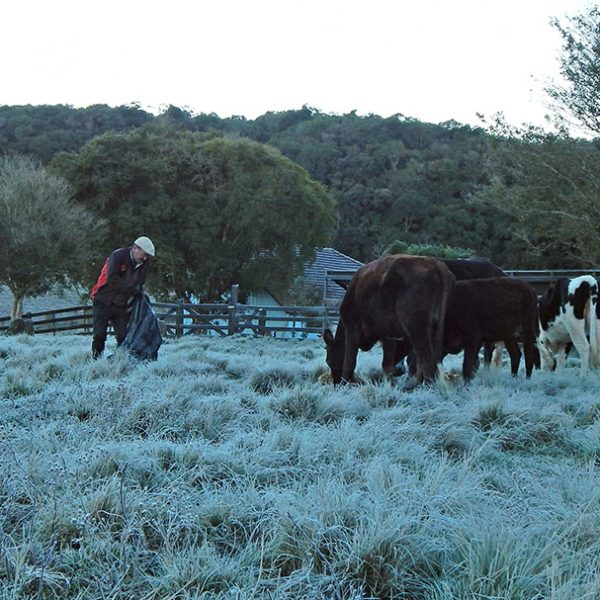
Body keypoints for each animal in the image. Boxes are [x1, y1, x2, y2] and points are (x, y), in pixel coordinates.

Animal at [324, 253, 454, 384]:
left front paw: (344, 383)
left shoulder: (352, 327)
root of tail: (433, 262)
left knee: (426, 360)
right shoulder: (389, 335)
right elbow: (387, 365)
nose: (335, 382)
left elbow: (349, 362)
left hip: (416, 328)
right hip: (434, 327)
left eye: (328, 361)